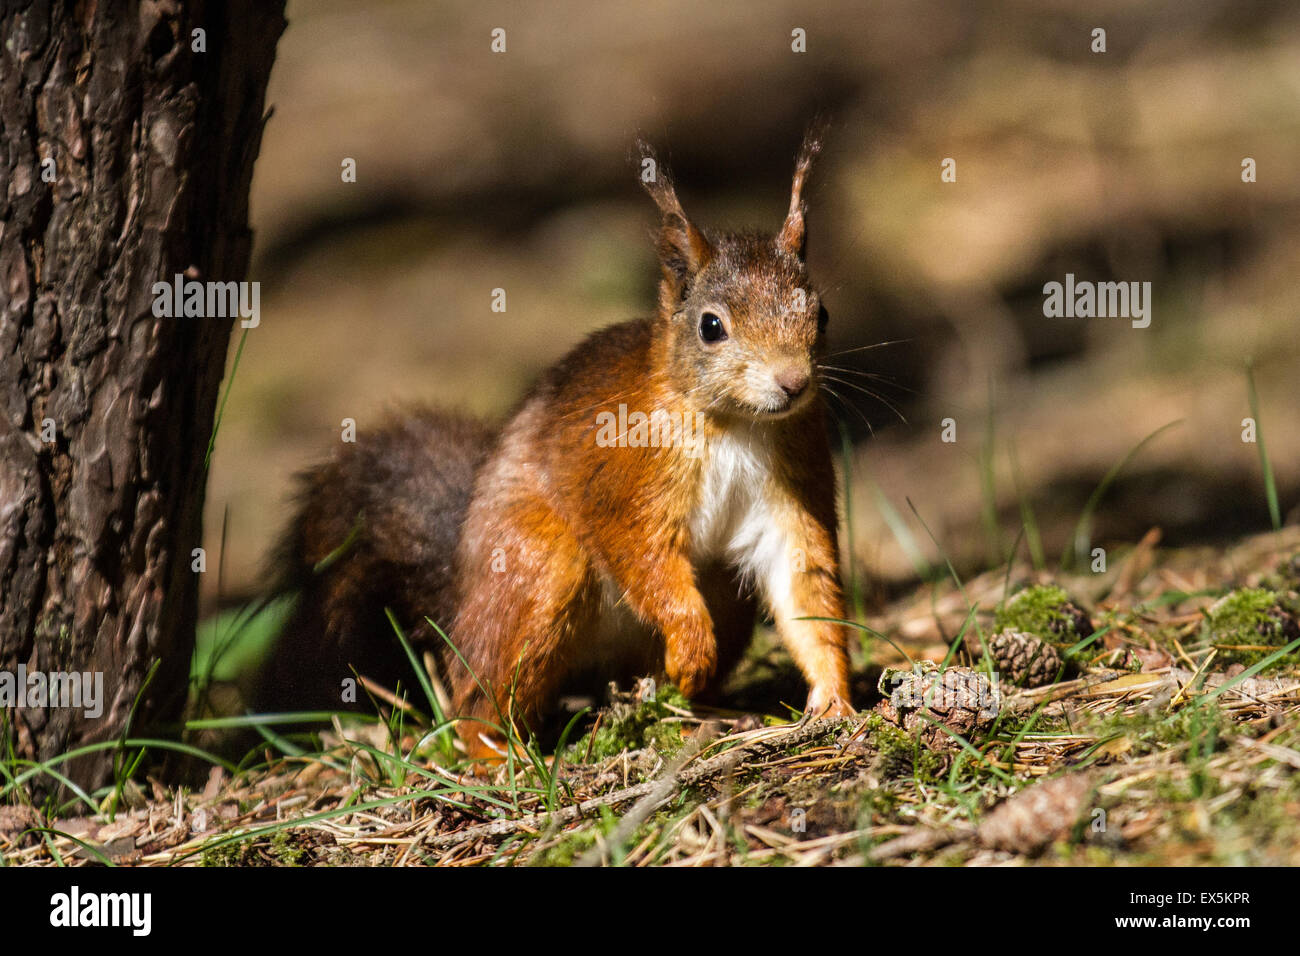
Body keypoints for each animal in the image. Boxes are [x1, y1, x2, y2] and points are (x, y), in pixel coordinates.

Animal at [258, 130, 857, 764]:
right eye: (711, 326)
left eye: (821, 313)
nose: (793, 382)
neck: (733, 424)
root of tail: (460, 593)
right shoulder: (620, 472)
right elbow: (640, 555)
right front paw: (692, 646)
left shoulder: (793, 480)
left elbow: (806, 583)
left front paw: (835, 701)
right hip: (536, 569)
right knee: (478, 691)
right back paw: (503, 752)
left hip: (721, 596)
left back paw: (695, 713)